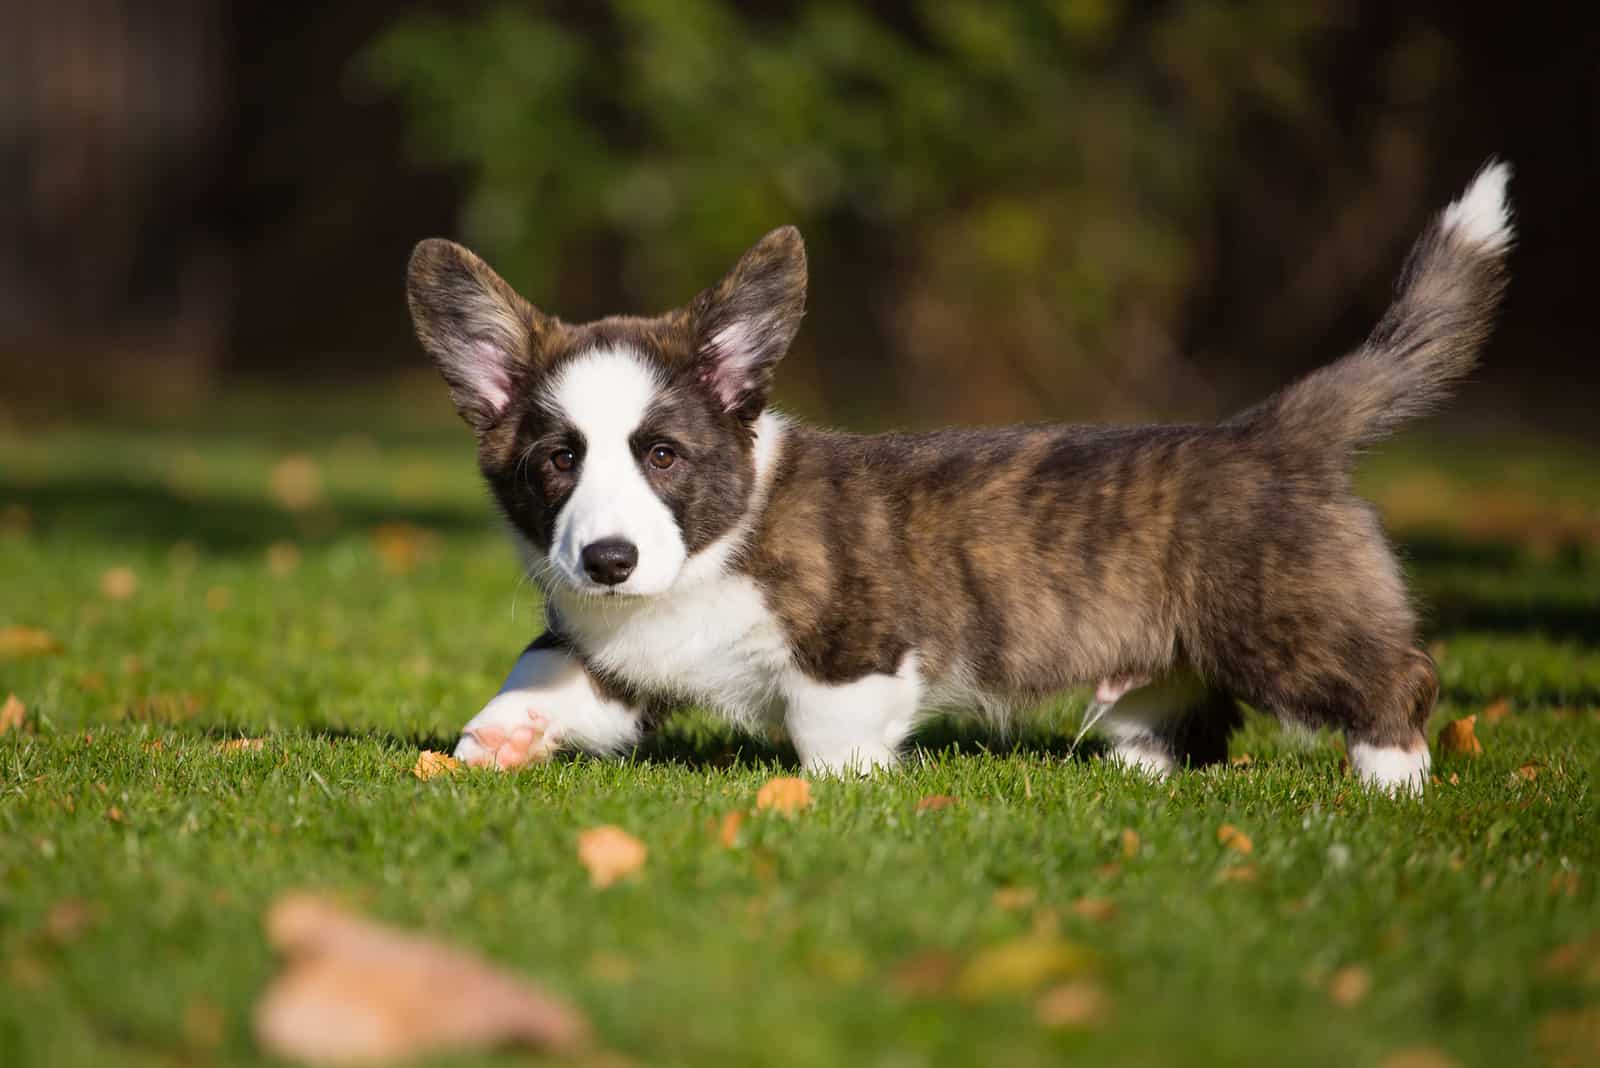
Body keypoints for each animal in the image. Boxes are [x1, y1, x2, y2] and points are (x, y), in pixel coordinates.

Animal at [403, 160, 1510, 793]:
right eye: (558, 460)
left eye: (662, 454)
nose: (608, 561)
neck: (718, 546)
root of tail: (1273, 432)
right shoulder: (625, 662)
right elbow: (541, 677)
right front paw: (489, 747)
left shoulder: (858, 654)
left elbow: (827, 734)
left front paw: (840, 799)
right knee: (1185, 721)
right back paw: (1138, 779)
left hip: (1286, 625)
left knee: (1396, 680)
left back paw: (1392, 785)